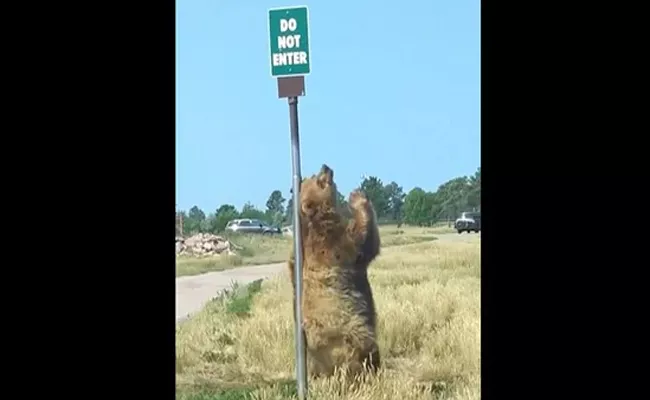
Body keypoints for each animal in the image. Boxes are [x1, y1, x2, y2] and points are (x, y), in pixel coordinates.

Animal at [288, 165, 380, 378]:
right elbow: (365, 240)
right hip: (353, 332)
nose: (326, 167)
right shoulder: (334, 244)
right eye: (318, 180)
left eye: (312, 174)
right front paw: (357, 196)